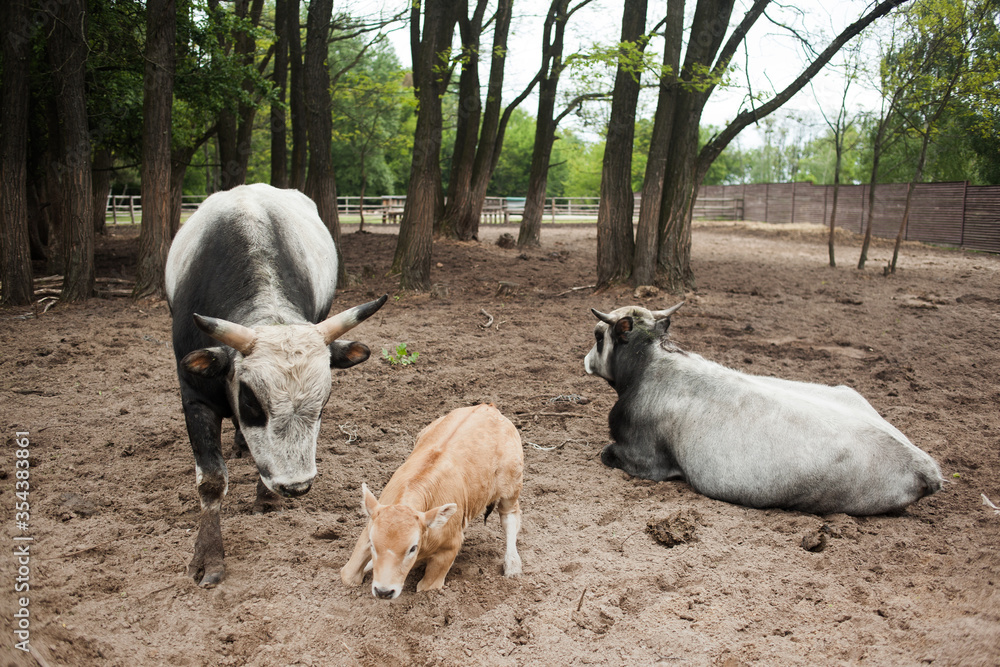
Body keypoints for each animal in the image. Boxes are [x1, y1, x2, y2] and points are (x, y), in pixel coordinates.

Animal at [165, 183, 387, 587]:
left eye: (324, 402)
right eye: (251, 400)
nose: (296, 487)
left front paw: (266, 499)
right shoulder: (194, 398)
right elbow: (211, 480)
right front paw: (208, 556)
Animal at [340, 404, 524, 599]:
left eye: (412, 548)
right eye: (374, 545)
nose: (383, 591)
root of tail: (487, 407)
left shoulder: (450, 546)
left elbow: (427, 587)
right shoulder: (368, 530)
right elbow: (348, 575)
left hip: (511, 485)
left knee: (509, 517)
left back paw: (512, 564)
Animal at [583, 303, 944, 516]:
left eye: (599, 336)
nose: (585, 360)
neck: (648, 367)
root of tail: (925, 467)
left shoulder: (645, 461)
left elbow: (606, 453)